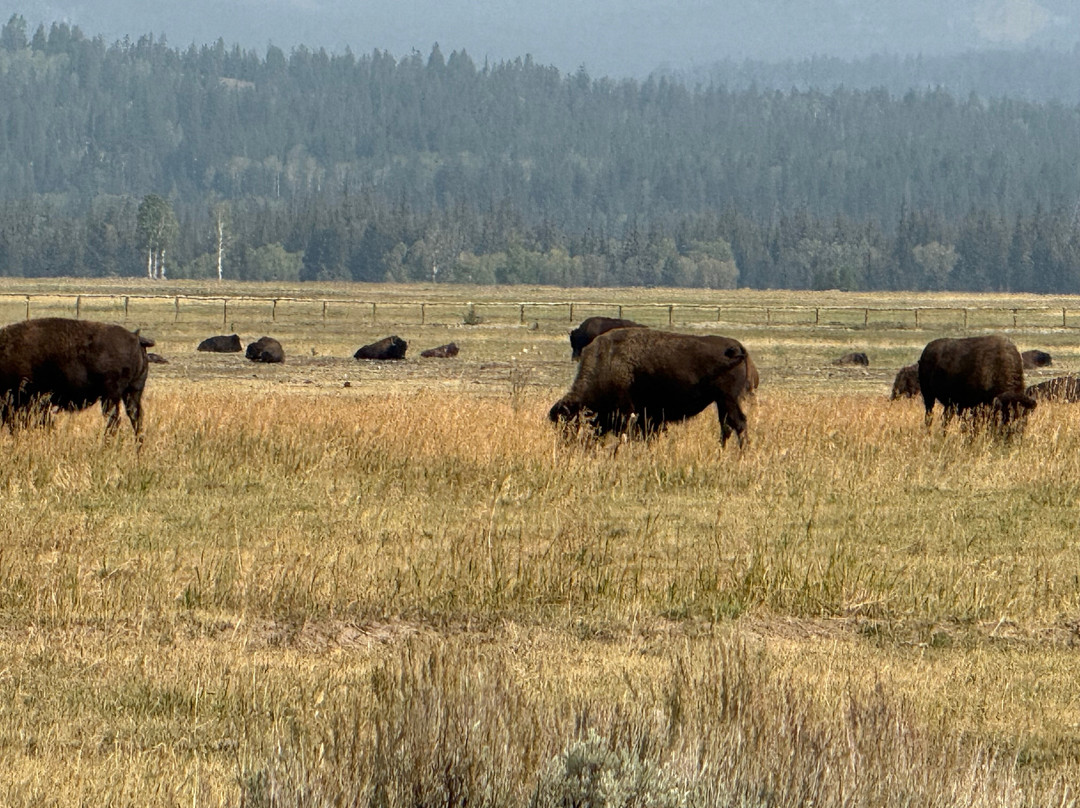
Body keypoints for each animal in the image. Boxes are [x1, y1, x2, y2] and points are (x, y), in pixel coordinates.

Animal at [549, 329, 752, 446]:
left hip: (728, 399)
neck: (608, 362)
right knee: (727, 426)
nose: (565, 445)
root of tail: (737, 346)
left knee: (738, 423)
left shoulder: (629, 413)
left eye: (570, 423)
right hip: (722, 401)